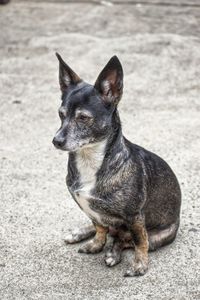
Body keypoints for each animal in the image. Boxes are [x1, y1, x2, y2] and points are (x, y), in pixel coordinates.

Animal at [52, 53, 181, 276]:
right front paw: (96, 243)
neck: (91, 159)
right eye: (61, 114)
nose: (56, 141)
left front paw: (139, 264)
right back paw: (80, 233)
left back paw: (114, 252)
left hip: (158, 235)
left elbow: (140, 241)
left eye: (83, 118)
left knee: (126, 239)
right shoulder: (88, 208)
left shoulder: (134, 217)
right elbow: (99, 227)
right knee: (110, 230)